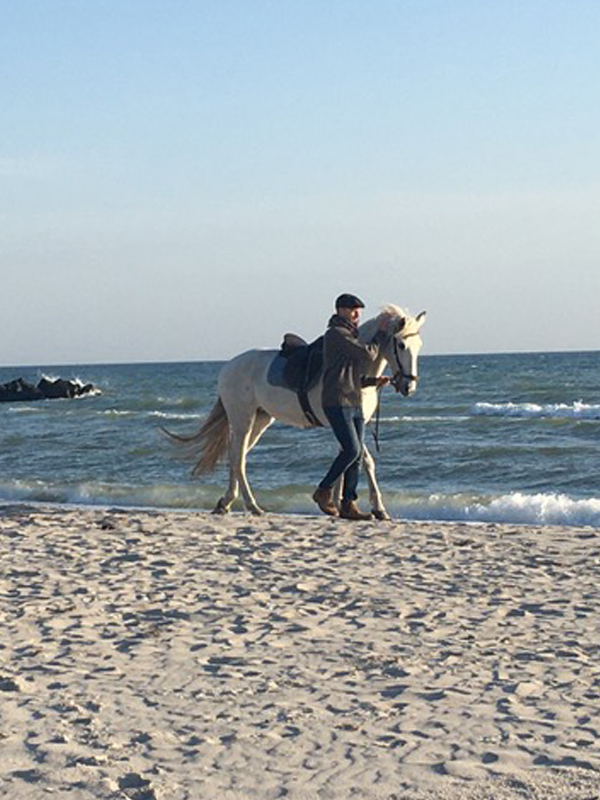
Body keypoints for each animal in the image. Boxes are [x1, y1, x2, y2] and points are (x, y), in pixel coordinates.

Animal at [166, 304, 424, 520]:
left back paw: (225, 503)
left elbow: (349, 460)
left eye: (419, 347)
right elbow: (363, 460)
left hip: (260, 420)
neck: (357, 370)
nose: (409, 387)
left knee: (236, 457)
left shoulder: (350, 425)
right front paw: (377, 509)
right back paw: (253, 506)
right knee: (238, 458)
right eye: (401, 345)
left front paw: (338, 507)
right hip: (242, 420)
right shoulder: (341, 422)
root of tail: (228, 367)